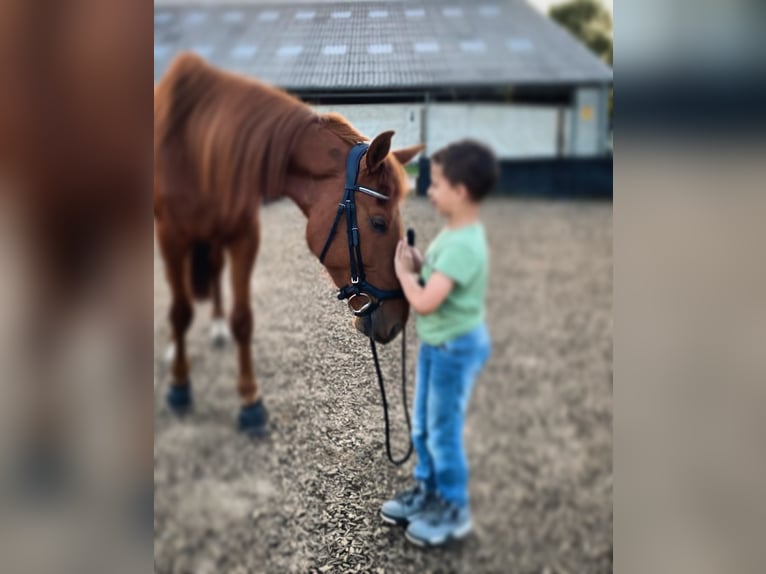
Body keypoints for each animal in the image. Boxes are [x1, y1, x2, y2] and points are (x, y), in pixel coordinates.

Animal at [153, 56, 424, 438]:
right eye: (378, 223)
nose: (398, 322)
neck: (200, 147)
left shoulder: (244, 237)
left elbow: (243, 319)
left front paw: (250, 404)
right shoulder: (170, 238)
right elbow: (180, 312)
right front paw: (179, 388)